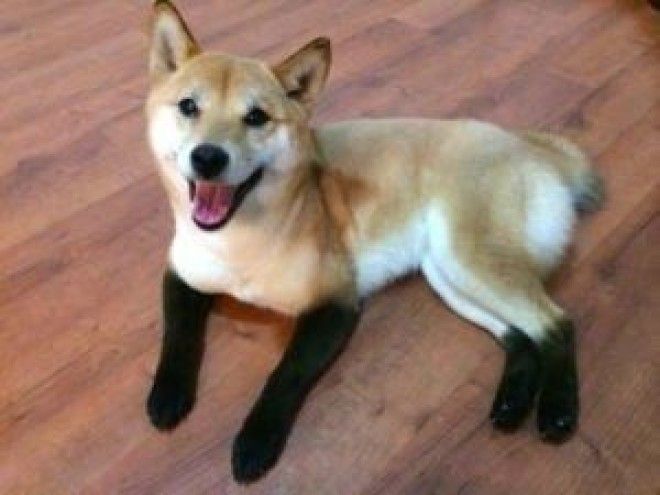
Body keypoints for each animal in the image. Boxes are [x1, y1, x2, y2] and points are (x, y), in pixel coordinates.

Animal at [145, 0, 604, 483]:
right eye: (188, 106)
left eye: (256, 117)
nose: (207, 157)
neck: (237, 241)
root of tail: (531, 147)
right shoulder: (181, 277)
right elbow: (177, 338)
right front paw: (168, 394)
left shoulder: (335, 304)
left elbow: (285, 375)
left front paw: (256, 439)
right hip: (446, 271)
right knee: (521, 337)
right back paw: (512, 403)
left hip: (468, 258)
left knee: (556, 324)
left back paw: (557, 411)